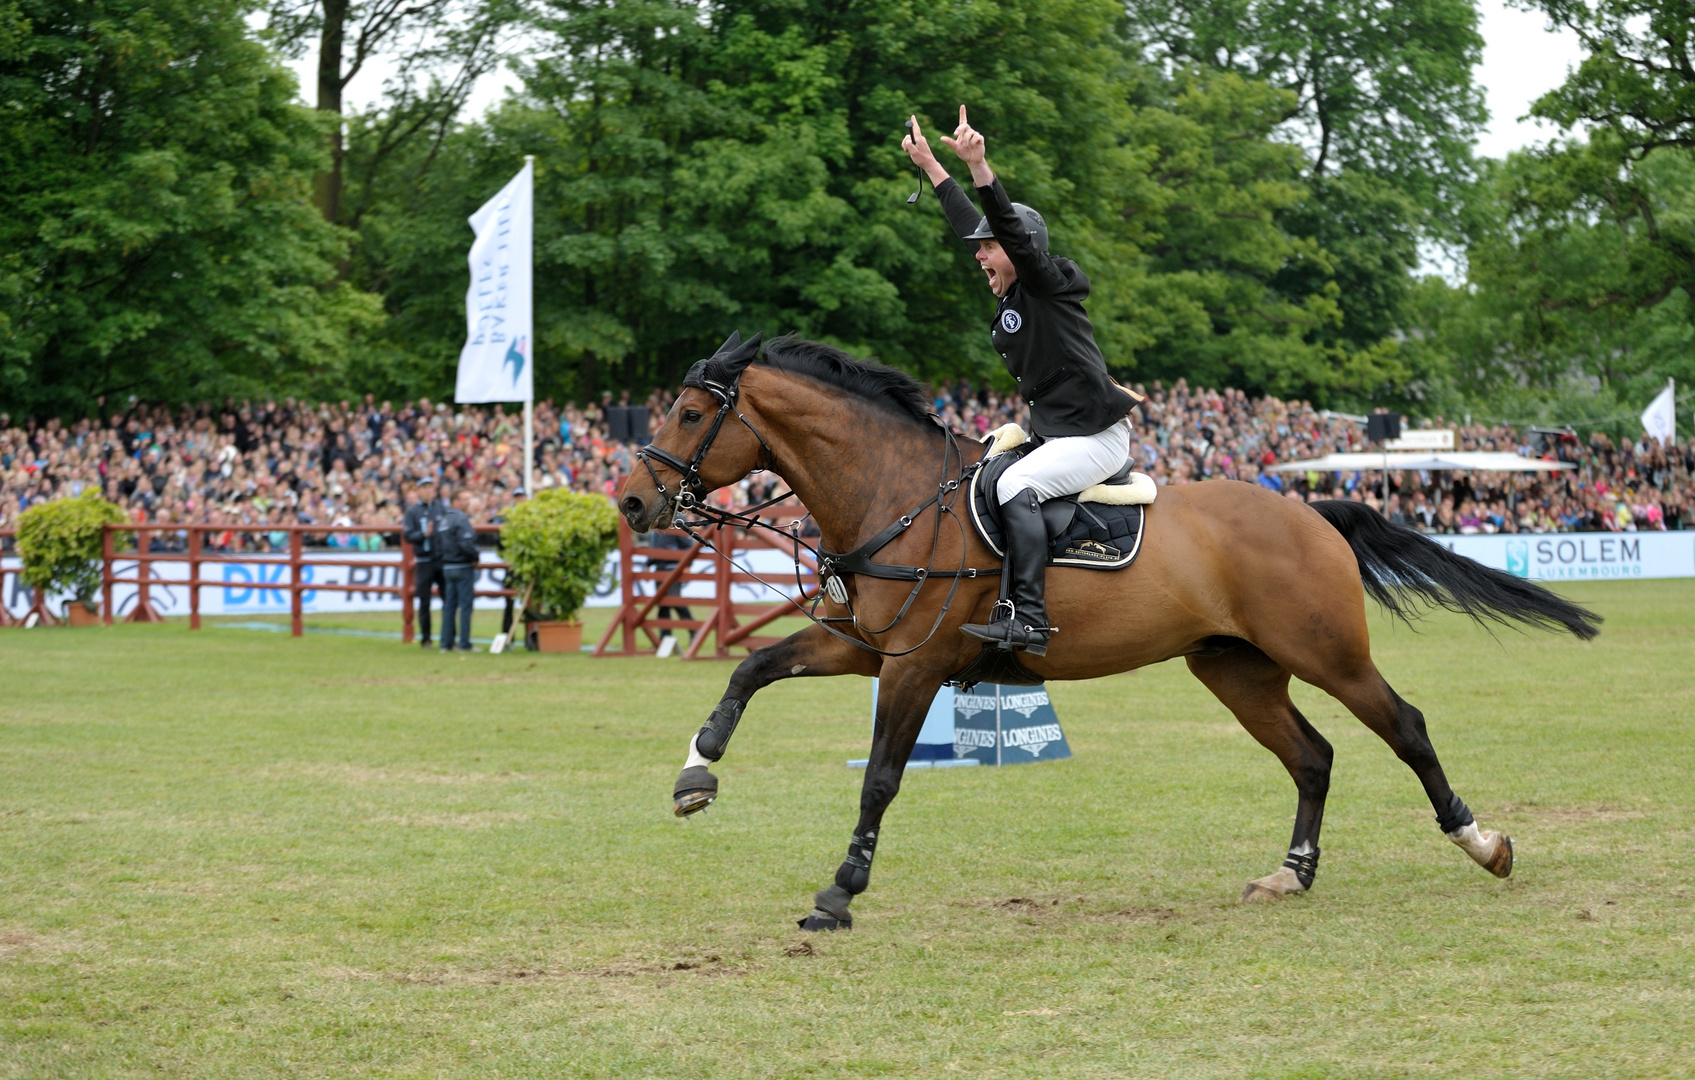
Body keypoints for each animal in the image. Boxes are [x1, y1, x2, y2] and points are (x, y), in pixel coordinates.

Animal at [616, 335, 1593, 929]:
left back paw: (1483, 843)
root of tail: (1305, 507)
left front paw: (839, 893)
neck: (897, 496)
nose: (629, 503)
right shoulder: (864, 649)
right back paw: (1291, 872)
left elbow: (881, 780)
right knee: (1311, 756)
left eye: (691, 415)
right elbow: (751, 669)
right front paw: (695, 774)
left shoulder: (912, 668)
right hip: (1236, 669)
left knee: (1404, 728)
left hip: (1325, 652)